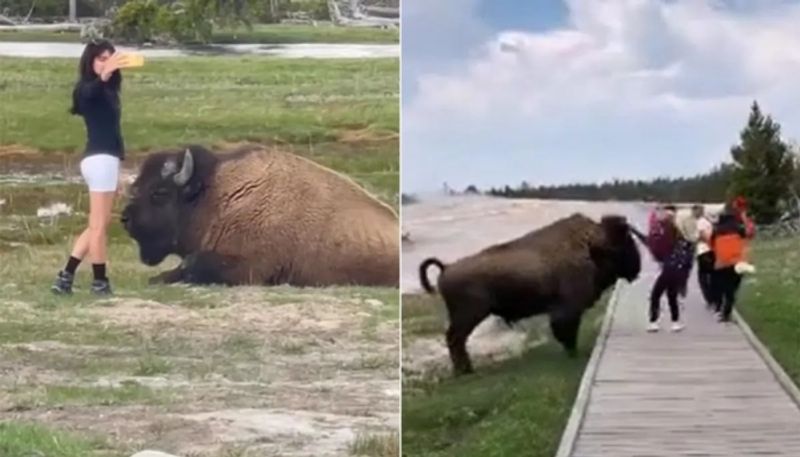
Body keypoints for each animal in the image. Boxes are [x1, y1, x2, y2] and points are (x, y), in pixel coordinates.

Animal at [416, 213, 640, 374]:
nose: (636, 268)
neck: (591, 247)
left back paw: (466, 370)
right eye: (626, 243)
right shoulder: (567, 310)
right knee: (455, 339)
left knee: (455, 340)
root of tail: (446, 267)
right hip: (469, 315)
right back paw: (465, 371)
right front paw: (573, 354)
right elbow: (566, 332)